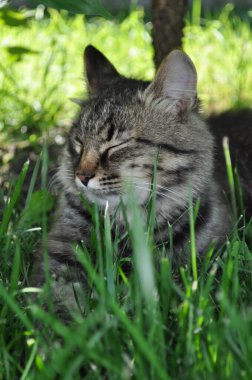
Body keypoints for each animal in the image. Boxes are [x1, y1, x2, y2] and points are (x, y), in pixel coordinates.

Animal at [32, 44, 252, 316]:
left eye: (116, 144)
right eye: (79, 143)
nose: (81, 177)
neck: (128, 221)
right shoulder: (61, 255)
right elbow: (58, 302)